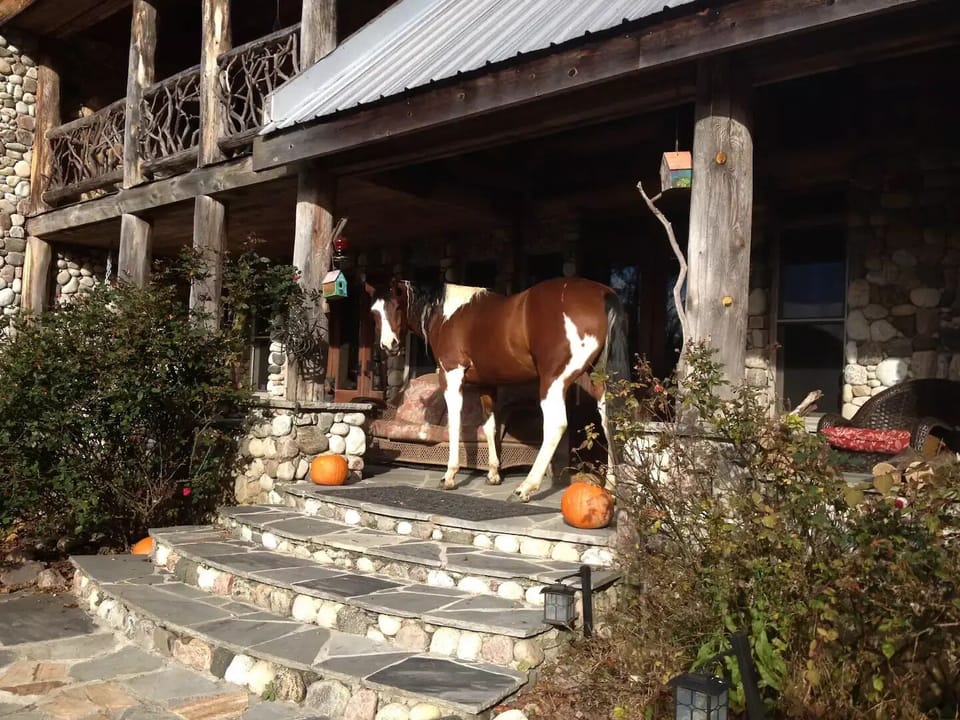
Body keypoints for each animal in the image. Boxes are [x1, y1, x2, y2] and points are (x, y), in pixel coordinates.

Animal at [369, 277, 629, 502]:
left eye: (397, 307)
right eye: (374, 312)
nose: (389, 345)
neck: (447, 314)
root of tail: (602, 294)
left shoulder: (451, 376)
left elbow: (455, 424)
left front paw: (449, 476)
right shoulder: (487, 385)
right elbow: (490, 426)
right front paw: (493, 473)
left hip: (553, 381)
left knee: (555, 425)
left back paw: (526, 487)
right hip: (600, 381)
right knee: (610, 422)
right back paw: (610, 487)